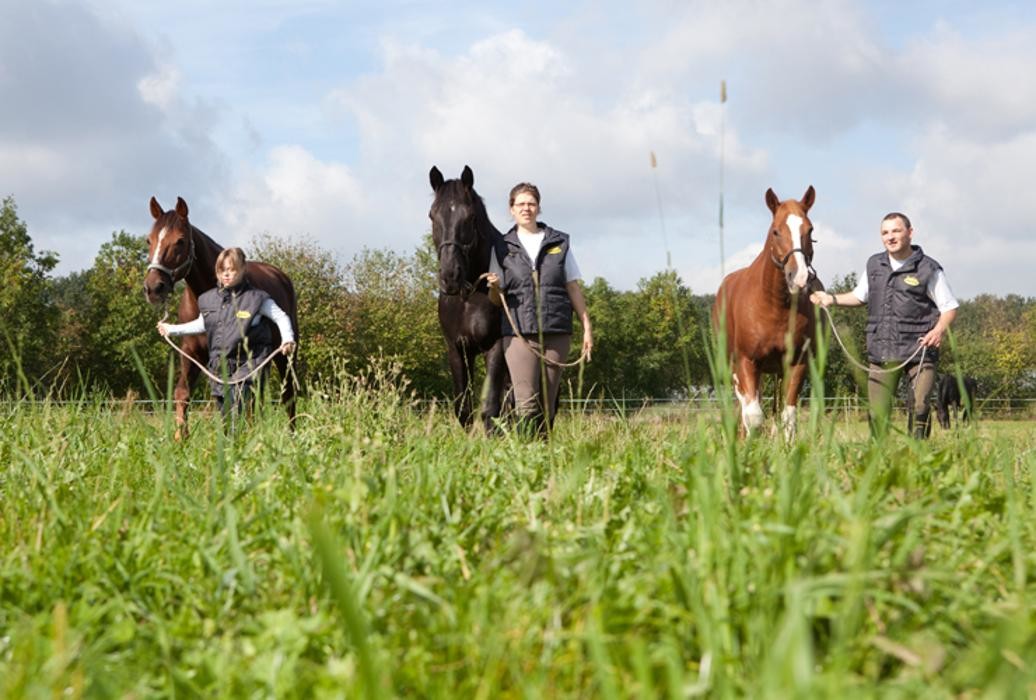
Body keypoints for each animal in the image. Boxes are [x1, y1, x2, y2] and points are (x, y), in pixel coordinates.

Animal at [140, 196, 300, 434]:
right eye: (149, 241)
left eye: (180, 241)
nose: (153, 288)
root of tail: (280, 276)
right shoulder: (191, 352)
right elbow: (183, 393)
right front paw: (180, 437)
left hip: (283, 355)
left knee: (286, 395)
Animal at [428, 166, 509, 428]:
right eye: (432, 216)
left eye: (471, 217)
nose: (450, 276)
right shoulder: (457, 350)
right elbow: (464, 410)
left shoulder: (496, 347)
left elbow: (491, 409)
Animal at [712, 186, 816, 436]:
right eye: (776, 231)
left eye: (810, 230)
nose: (799, 278)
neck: (774, 306)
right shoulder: (747, 361)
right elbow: (754, 416)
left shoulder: (796, 363)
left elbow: (788, 416)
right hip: (734, 368)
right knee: (743, 406)